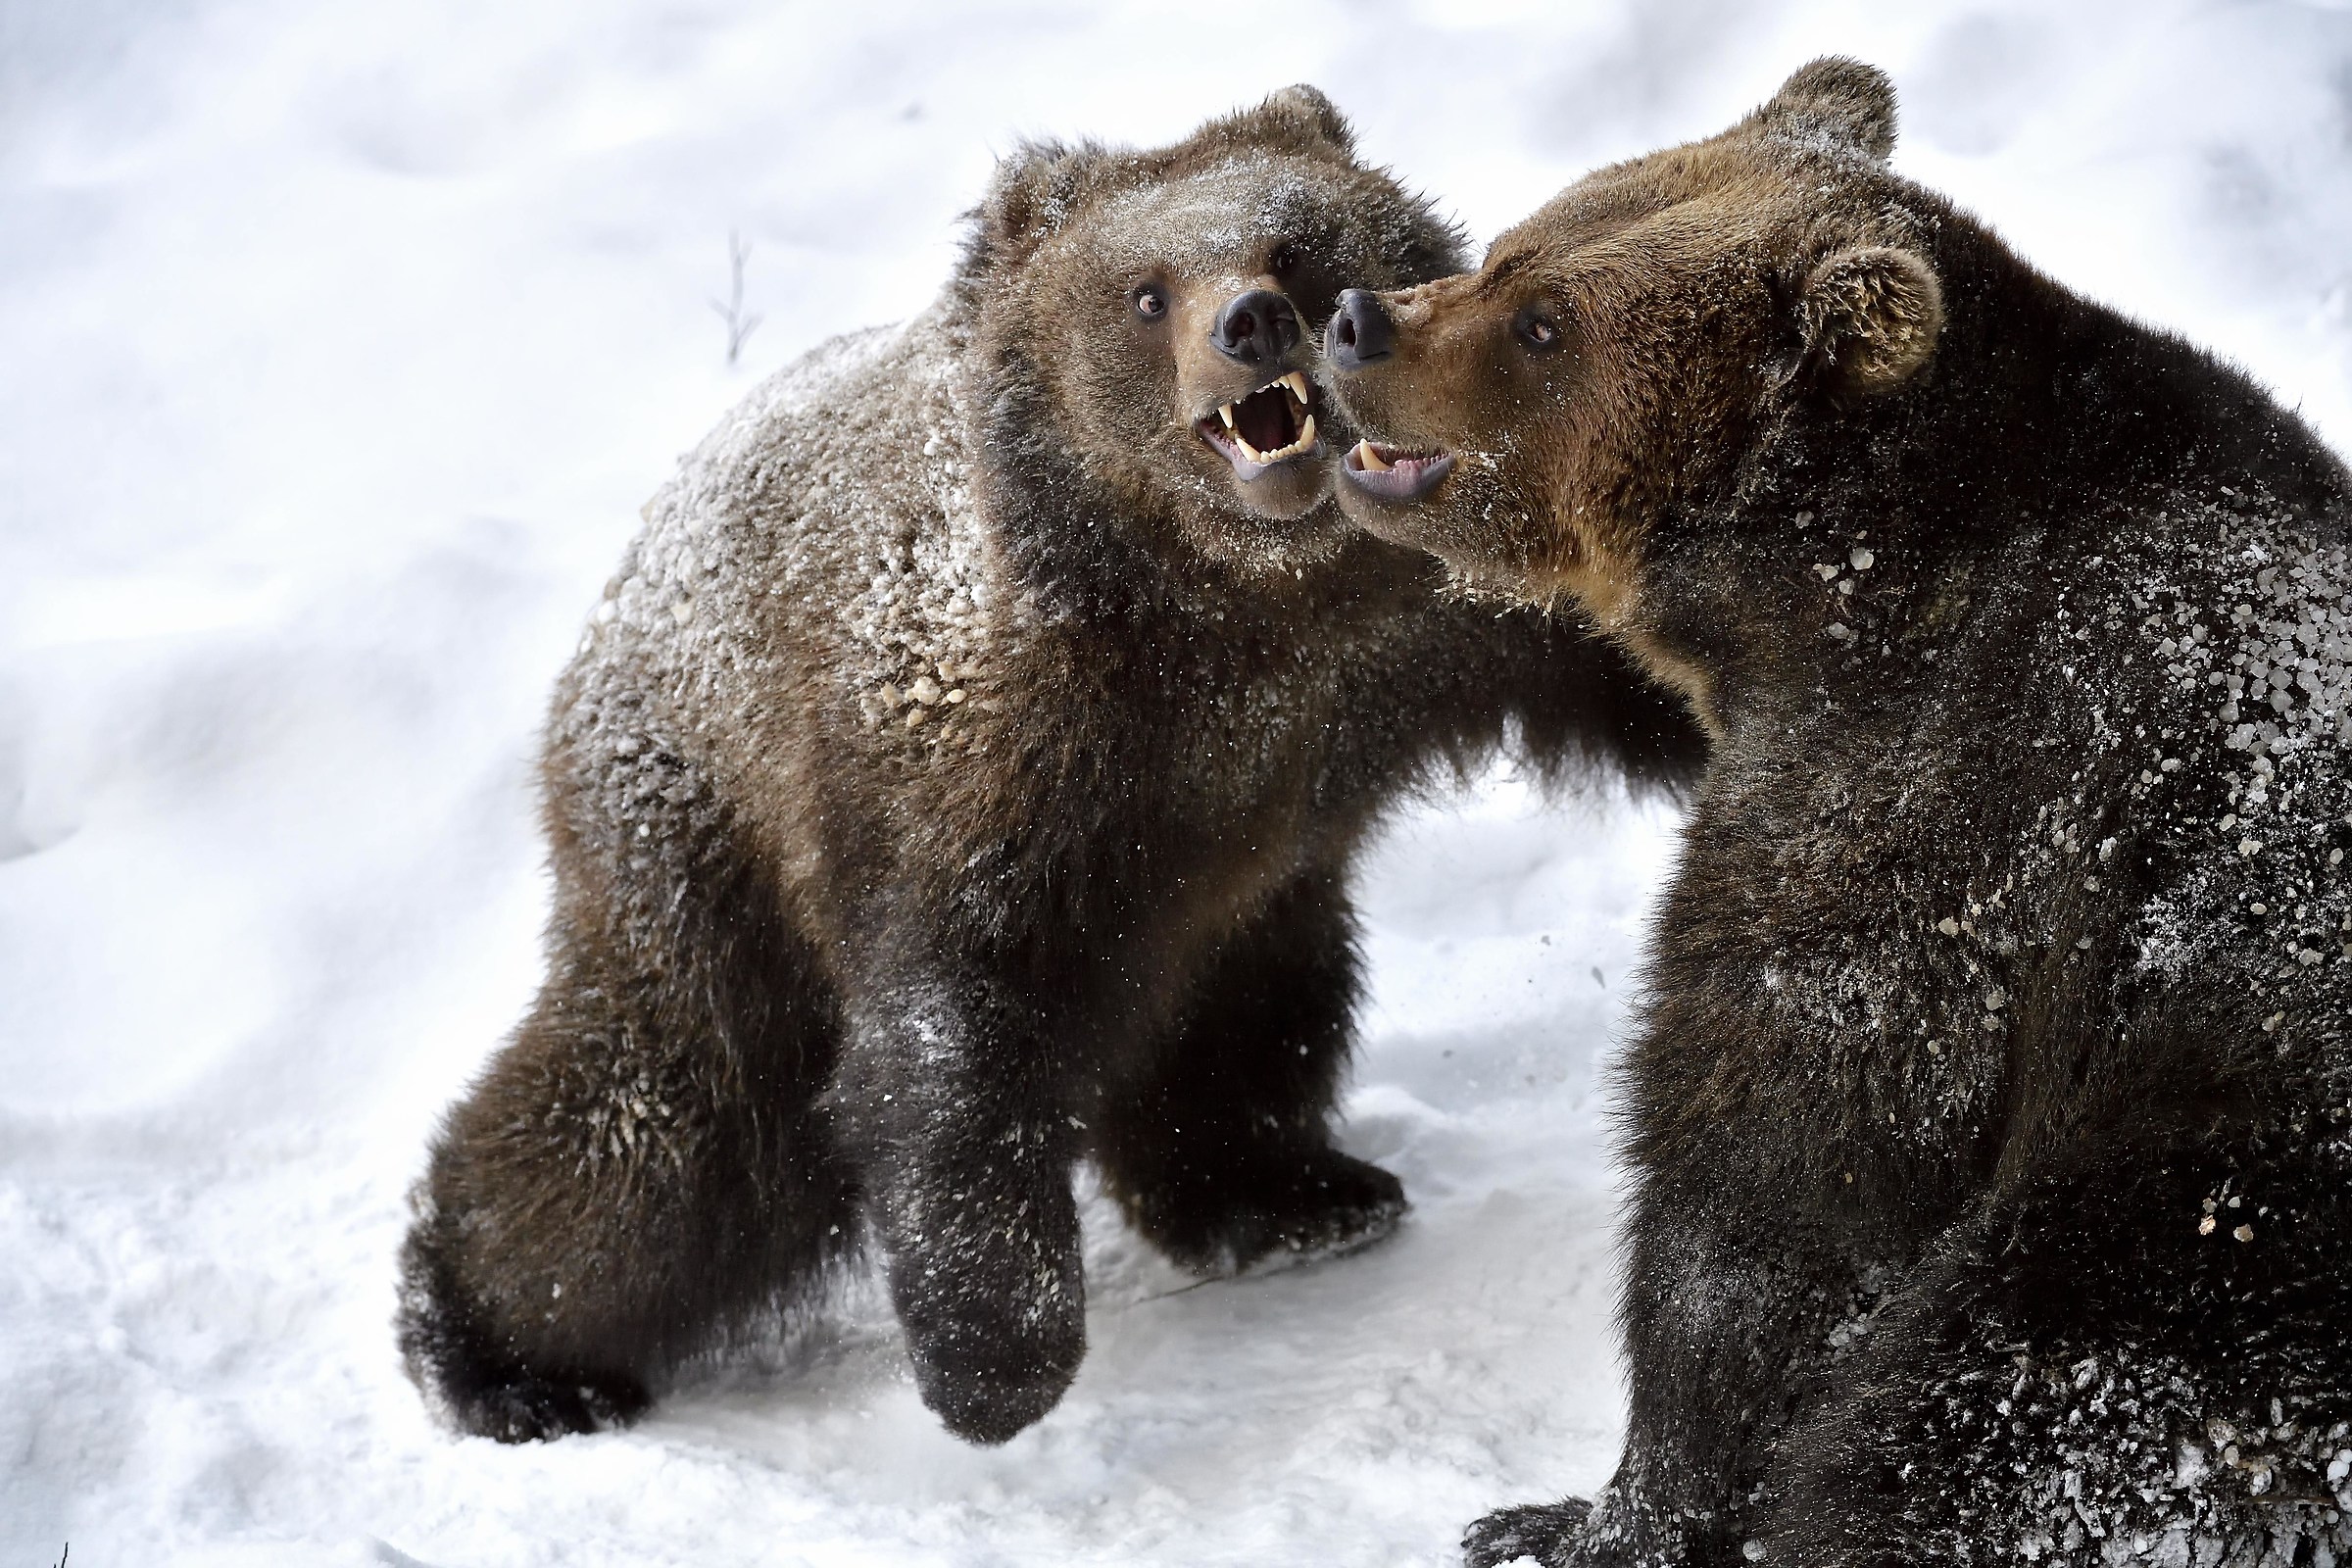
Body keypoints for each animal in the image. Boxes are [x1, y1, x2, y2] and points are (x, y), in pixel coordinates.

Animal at [396, 86, 1706, 1452]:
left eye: (1296, 243)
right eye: (1146, 292)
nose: (1250, 320)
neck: (1246, 606)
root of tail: (614, 603)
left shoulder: (1434, 616)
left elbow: (1649, 666)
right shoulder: (992, 755)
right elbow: (951, 1019)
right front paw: (995, 1360)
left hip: (1223, 906)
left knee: (1244, 1016)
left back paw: (1287, 1191)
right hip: (708, 837)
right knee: (666, 1129)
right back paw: (502, 1354)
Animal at [1317, 57, 2352, 1568]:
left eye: (1545, 322)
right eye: (1513, 247)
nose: (1357, 319)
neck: (1819, 613)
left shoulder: (1950, 812)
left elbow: (1774, 1178)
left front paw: (1583, 1512)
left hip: (2195, 1241)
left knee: (1991, 1419)